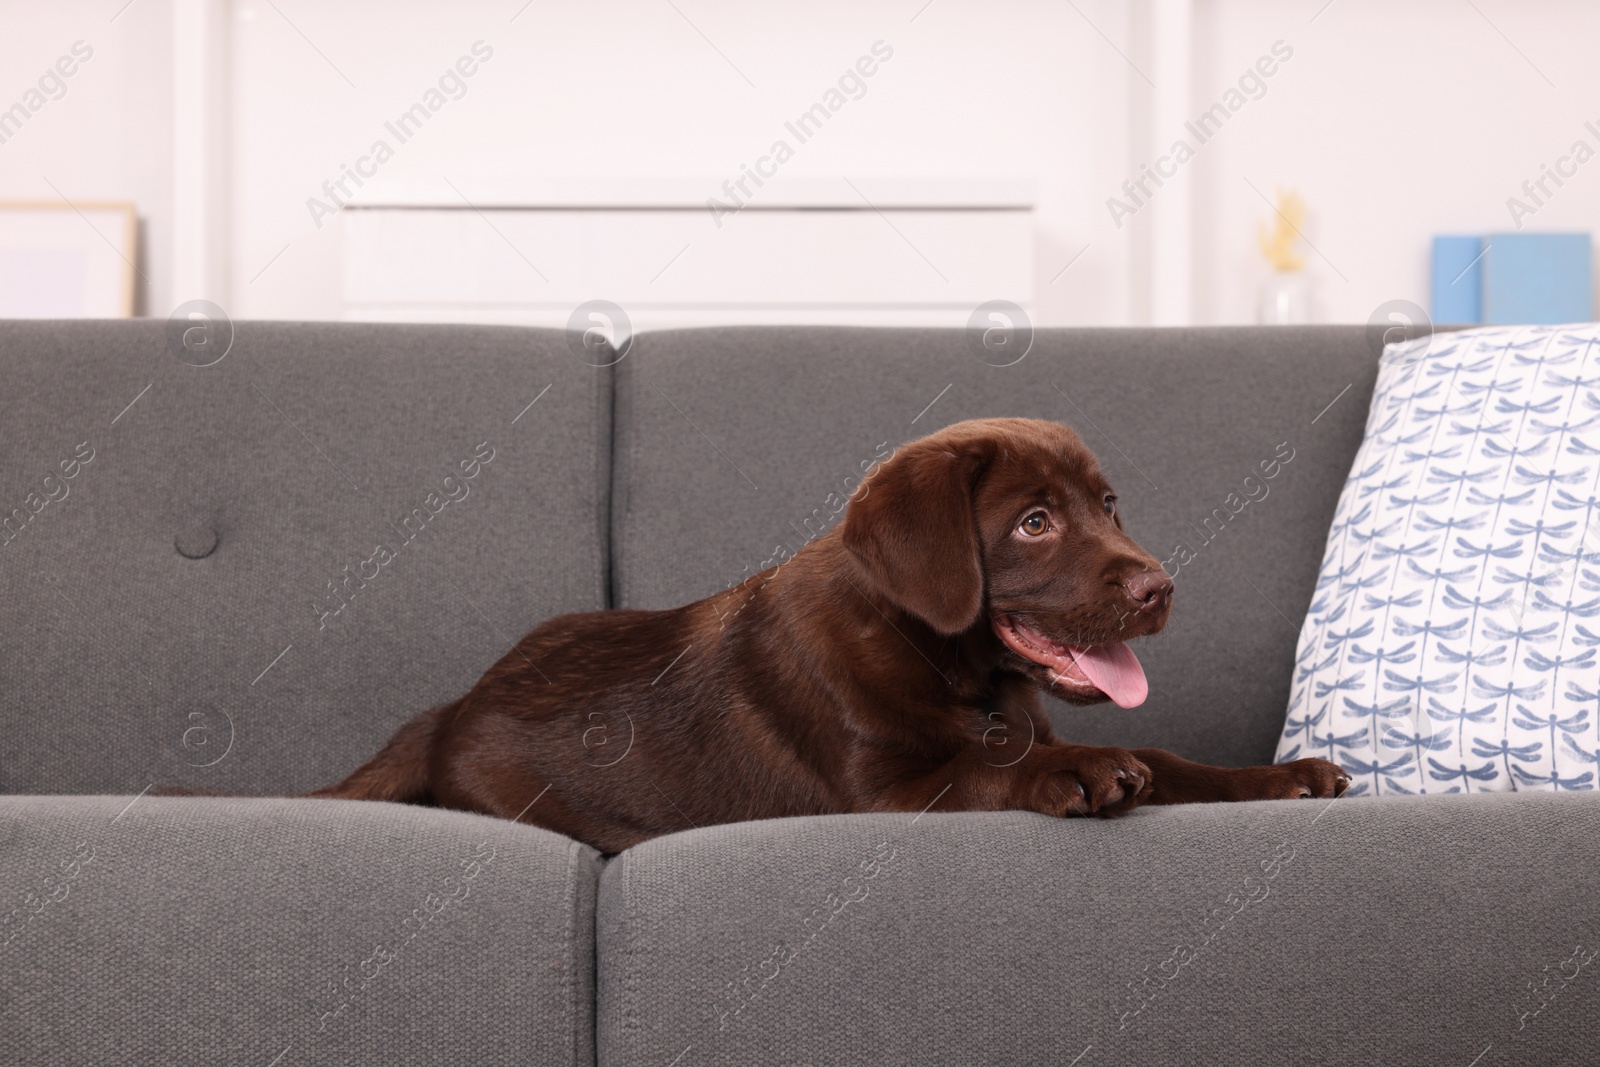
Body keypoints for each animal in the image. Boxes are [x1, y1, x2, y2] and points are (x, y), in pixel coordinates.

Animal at [315, 415, 1350, 851]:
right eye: (1034, 522)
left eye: (1107, 505)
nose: (1161, 586)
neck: (952, 670)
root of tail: (453, 706)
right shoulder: (878, 797)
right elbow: (993, 769)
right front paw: (1080, 772)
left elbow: (1166, 754)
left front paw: (1283, 775)